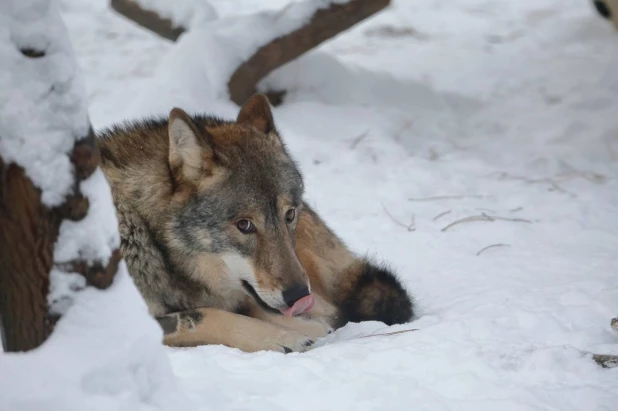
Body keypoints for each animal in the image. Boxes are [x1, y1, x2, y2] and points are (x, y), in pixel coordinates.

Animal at [97, 94, 414, 354]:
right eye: (245, 225)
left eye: (289, 215)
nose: (299, 296)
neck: (147, 236)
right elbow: (202, 315)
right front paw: (282, 337)